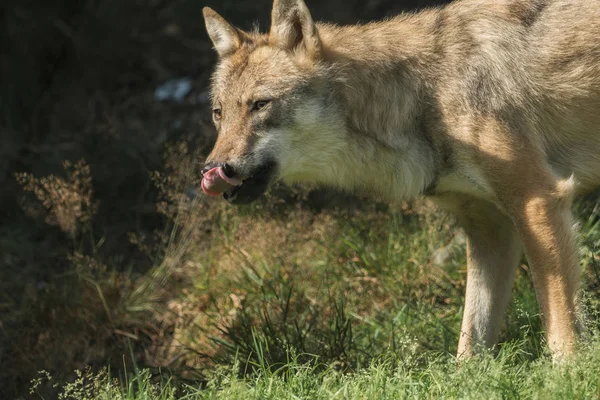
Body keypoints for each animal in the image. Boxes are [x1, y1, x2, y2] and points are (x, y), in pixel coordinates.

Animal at [202, 0, 600, 360]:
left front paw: (567, 375)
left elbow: (560, 324)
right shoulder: (490, 227)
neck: (423, 93)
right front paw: (466, 381)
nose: (212, 170)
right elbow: (471, 340)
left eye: (260, 104)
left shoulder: (536, 200)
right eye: (219, 113)